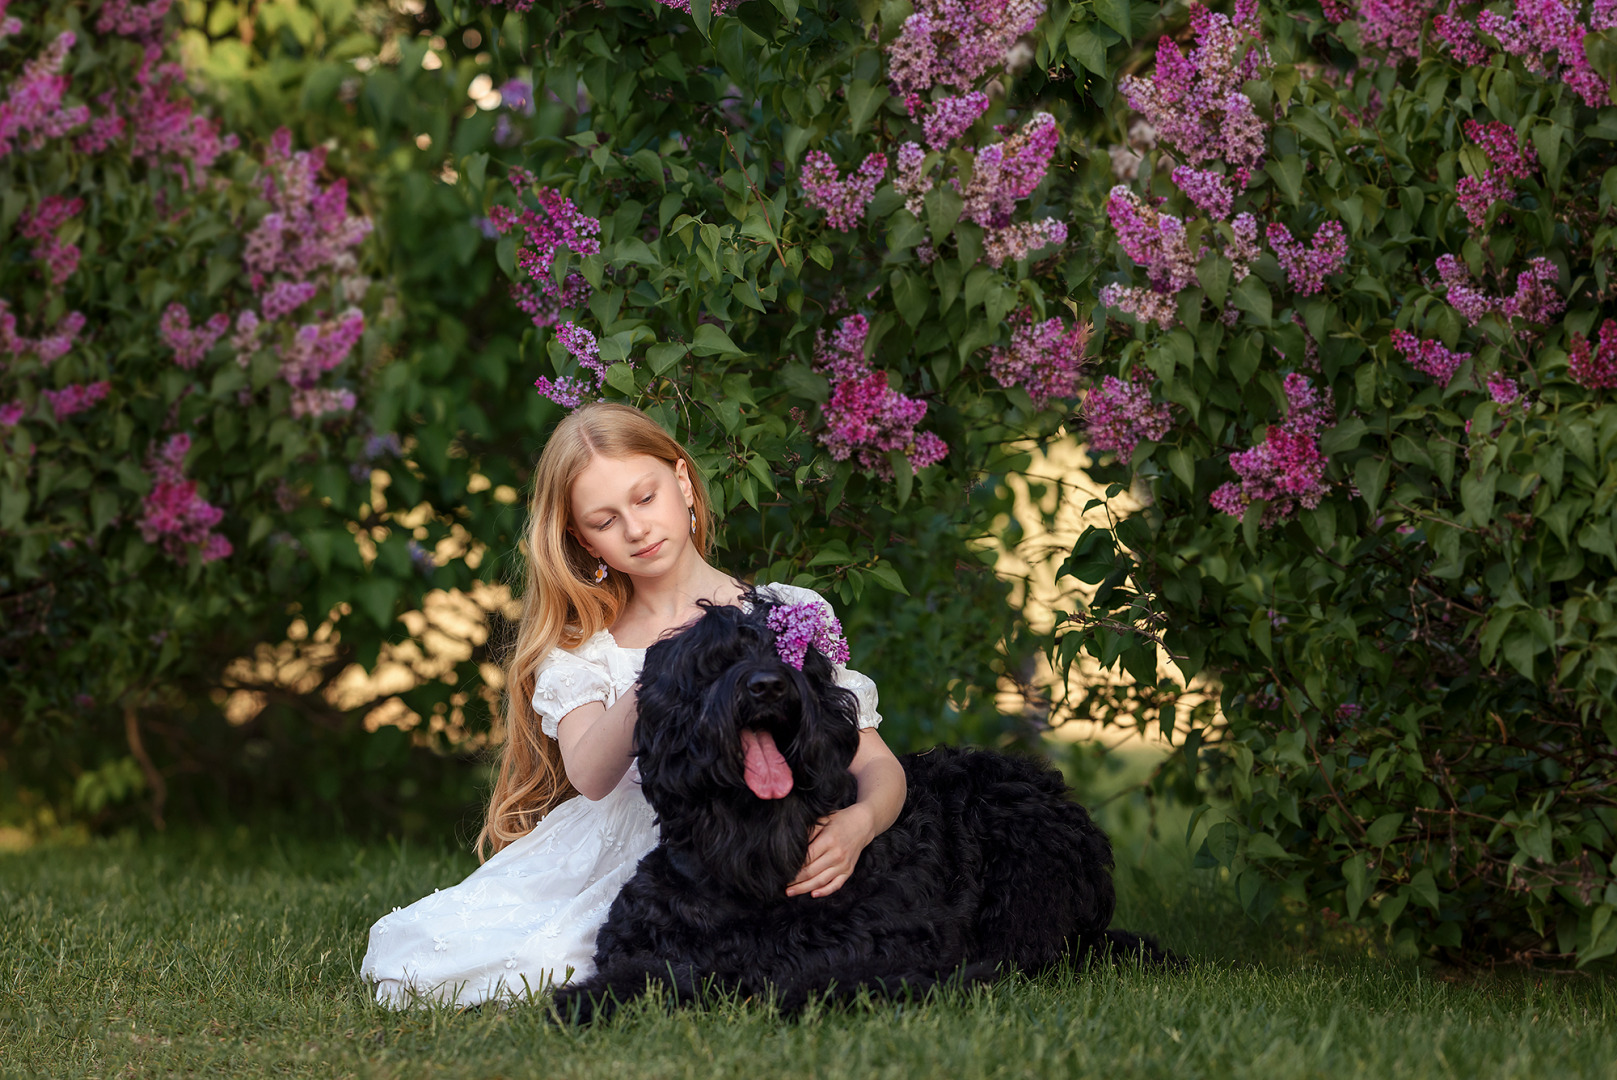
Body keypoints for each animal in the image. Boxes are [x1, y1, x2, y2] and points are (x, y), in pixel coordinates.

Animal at [556, 591, 1177, 1021]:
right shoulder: (643, 946)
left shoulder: (868, 952)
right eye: (714, 661)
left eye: (796, 661)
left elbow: (802, 979)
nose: (767, 686)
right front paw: (580, 1003)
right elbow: (647, 976)